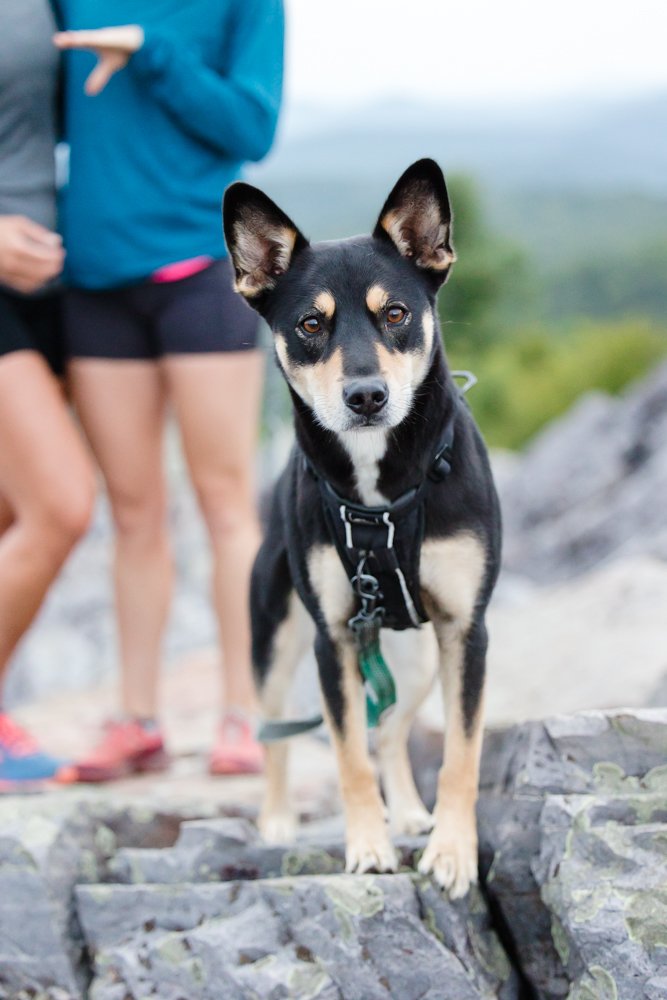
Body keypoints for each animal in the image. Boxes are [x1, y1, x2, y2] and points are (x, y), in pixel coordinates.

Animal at [224, 158, 500, 900]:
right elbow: (347, 754)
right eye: (309, 324)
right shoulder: (333, 639)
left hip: (418, 659)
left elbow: (461, 753)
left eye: (396, 314)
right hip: (274, 641)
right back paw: (278, 819)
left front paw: (450, 852)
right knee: (278, 733)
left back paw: (406, 810)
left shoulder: (466, 630)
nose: (366, 396)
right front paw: (367, 847)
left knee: (393, 731)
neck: (382, 491)